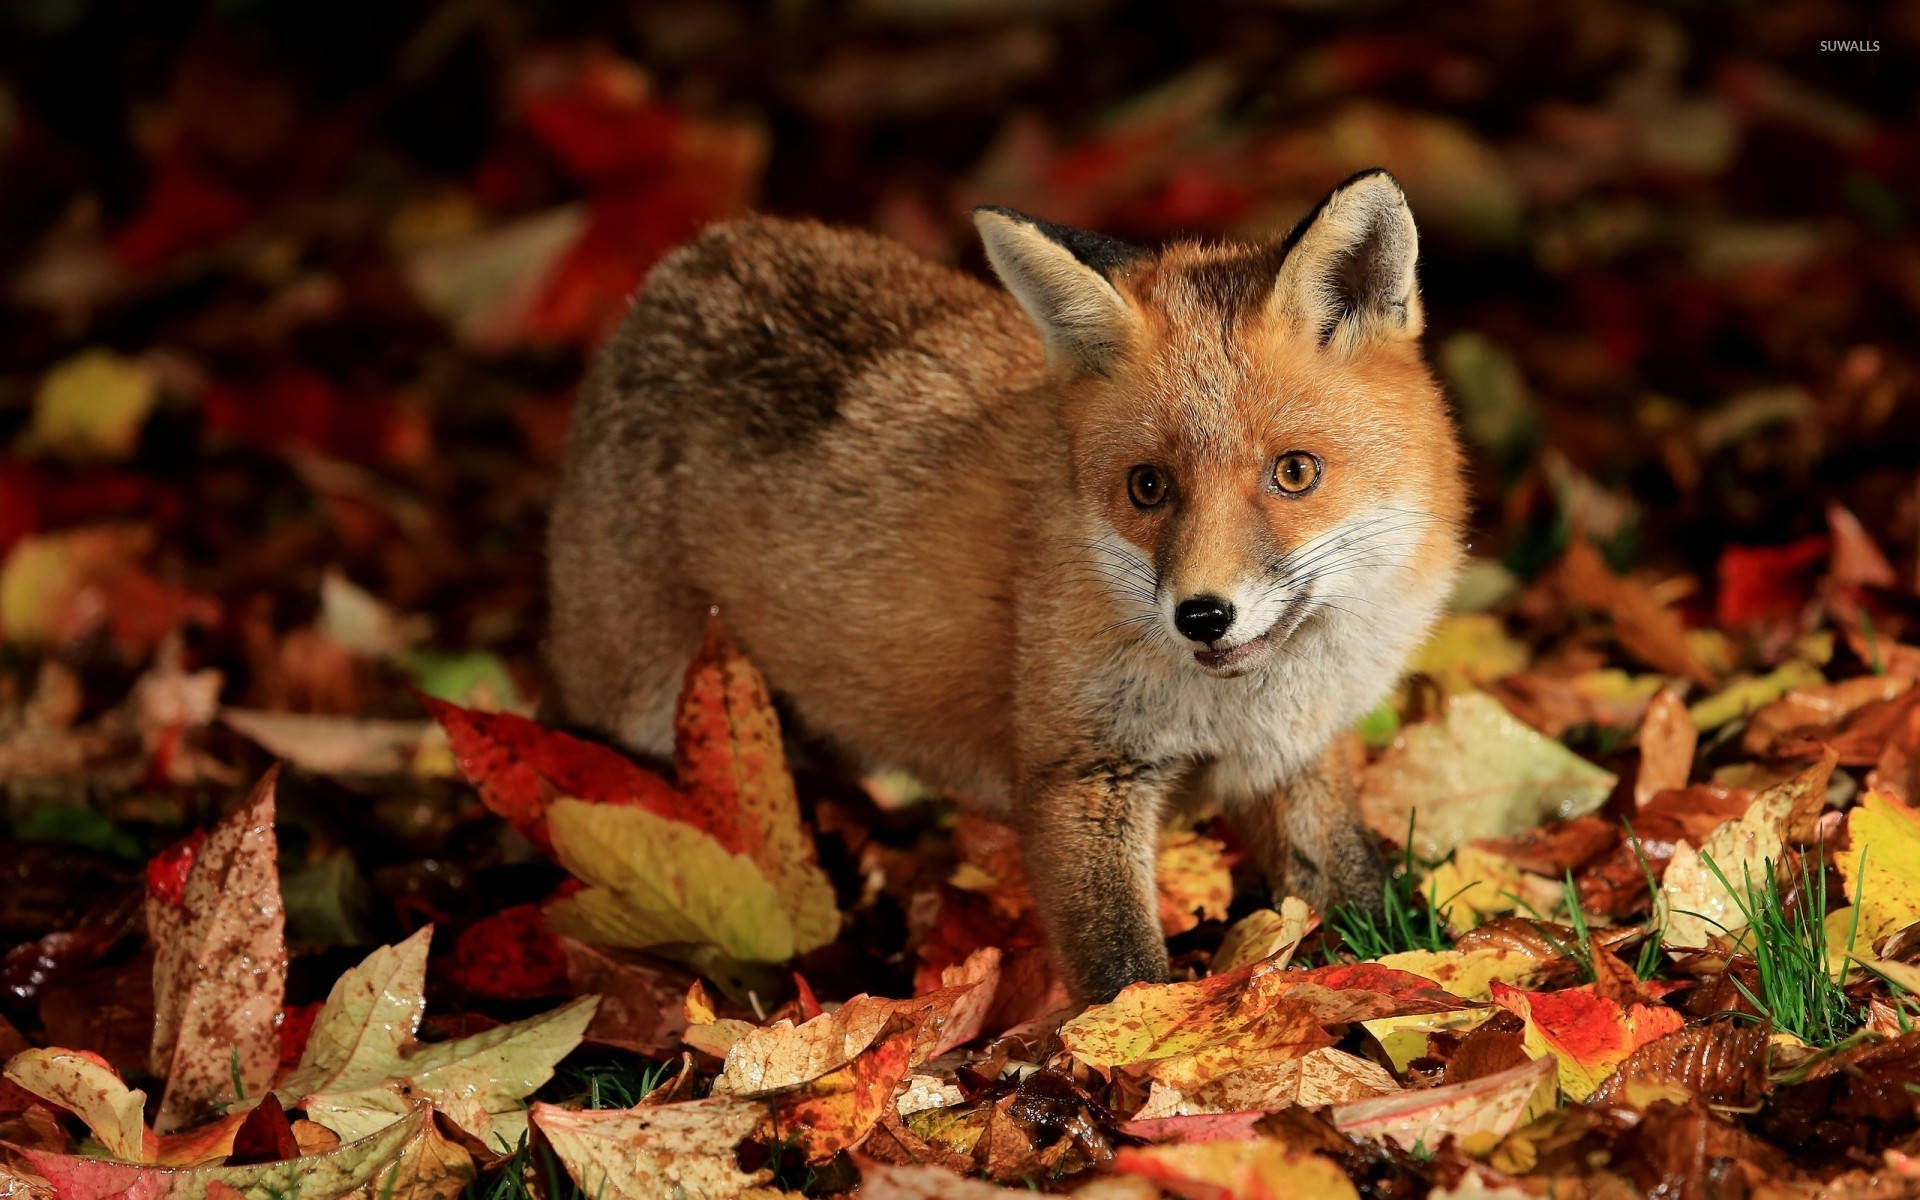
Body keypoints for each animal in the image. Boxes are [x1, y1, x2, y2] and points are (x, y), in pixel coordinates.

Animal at [545, 168, 1466, 1004]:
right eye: (1147, 487)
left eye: (1295, 472)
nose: (1202, 616)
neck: (1237, 706)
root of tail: (686, 263)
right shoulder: (1078, 775)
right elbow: (1120, 971)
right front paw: (1128, 1058)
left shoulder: (1296, 755)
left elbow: (1358, 889)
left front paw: (1417, 971)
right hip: (641, 714)